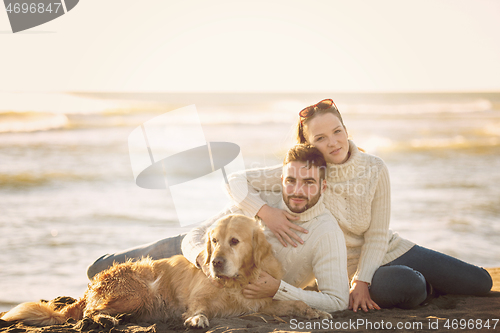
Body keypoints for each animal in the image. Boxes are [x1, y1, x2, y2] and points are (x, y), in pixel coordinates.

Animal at [3, 215, 334, 326]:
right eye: (214, 241)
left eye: (235, 241)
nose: (215, 263)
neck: (236, 282)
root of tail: (92, 285)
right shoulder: (198, 296)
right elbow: (198, 307)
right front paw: (197, 319)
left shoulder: (260, 301)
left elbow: (295, 301)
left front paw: (315, 311)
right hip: (137, 292)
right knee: (88, 313)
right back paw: (105, 319)